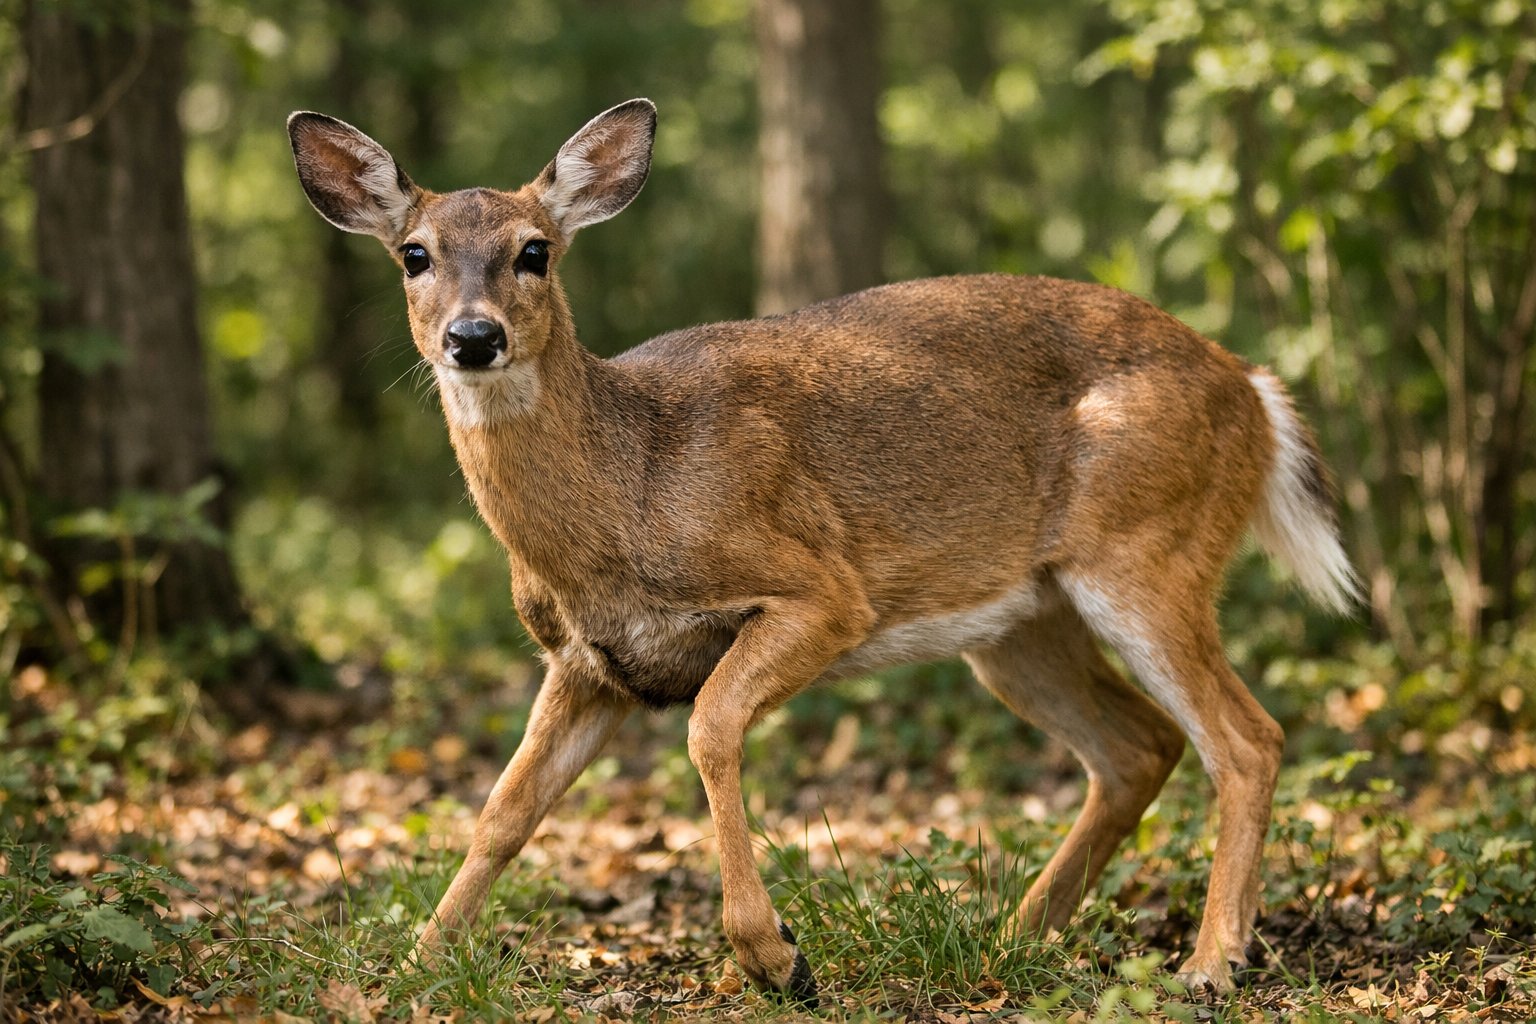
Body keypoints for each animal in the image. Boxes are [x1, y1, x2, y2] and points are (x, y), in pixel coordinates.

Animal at [287, 98, 1359, 1003]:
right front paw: (413, 967)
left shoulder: (822, 590)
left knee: (1246, 738)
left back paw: (1211, 963)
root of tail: (1253, 389)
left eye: (535, 251)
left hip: (1146, 549)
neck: (630, 495)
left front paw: (776, 957)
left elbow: (710, 726)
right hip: (1021, 622)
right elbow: (504, 810)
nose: (474, 338)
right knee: (1142, 746)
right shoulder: (588, 664)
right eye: (414, 254)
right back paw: (1013, 936)